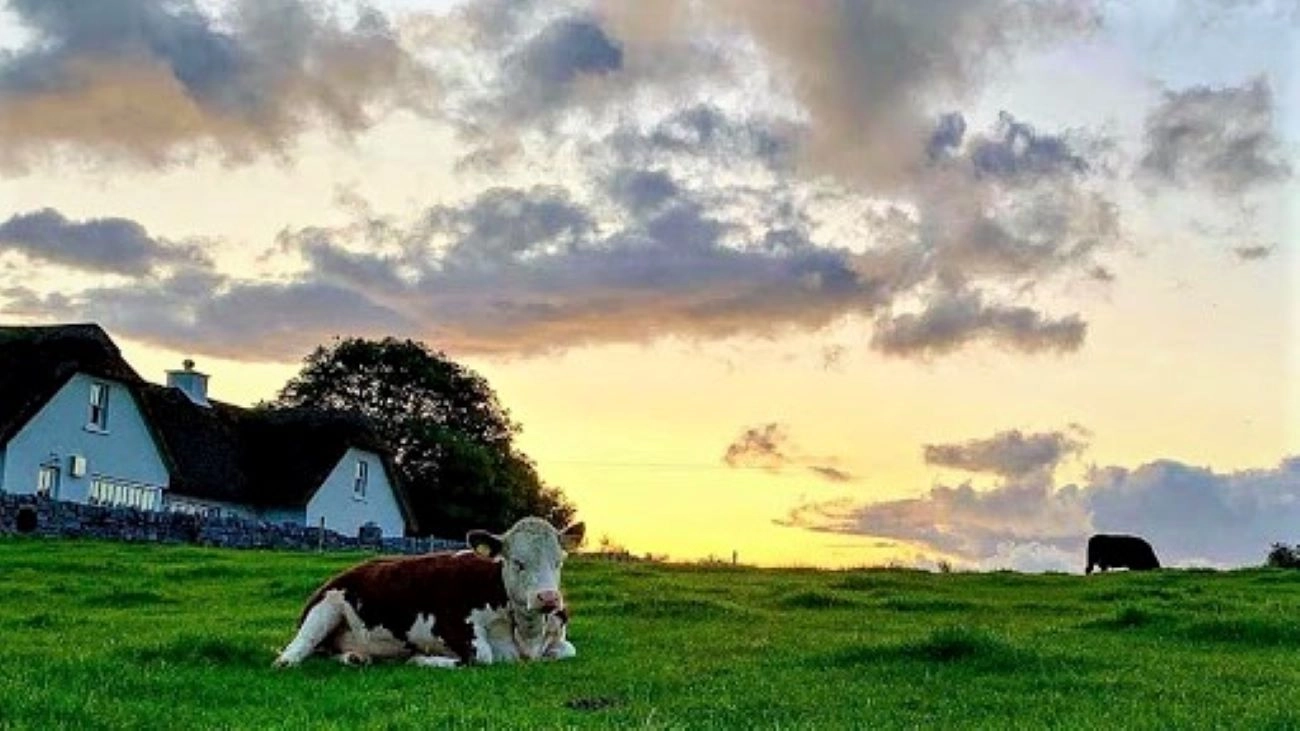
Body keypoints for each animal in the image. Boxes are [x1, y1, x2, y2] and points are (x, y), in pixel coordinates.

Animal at [274, 512, 585, 665]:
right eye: (518, 563)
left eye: (559, 561)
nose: (548, 597)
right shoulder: (454, 626)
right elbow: (483, 657)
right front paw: (421, 659)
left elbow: (569, 649)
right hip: (326, 608)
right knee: (302, 644)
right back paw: (286, 661)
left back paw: (355, 657)